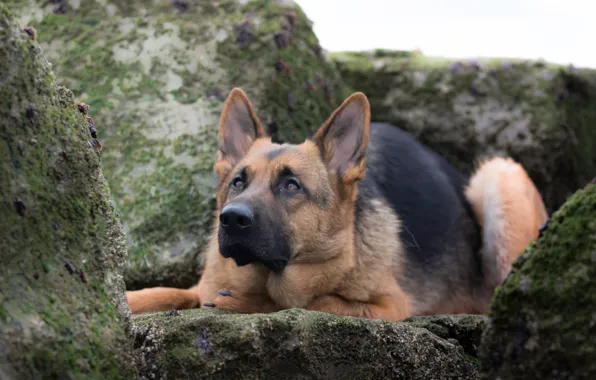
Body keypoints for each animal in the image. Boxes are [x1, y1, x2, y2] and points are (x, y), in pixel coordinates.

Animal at [127, 87, 548, 320]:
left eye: (292, 185)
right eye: (237, 182)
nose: (230, 220)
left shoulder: (387, 308)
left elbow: (308, 302)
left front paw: (249, 301)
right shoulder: (199, 288)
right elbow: (164, 292)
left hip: (499, 177)